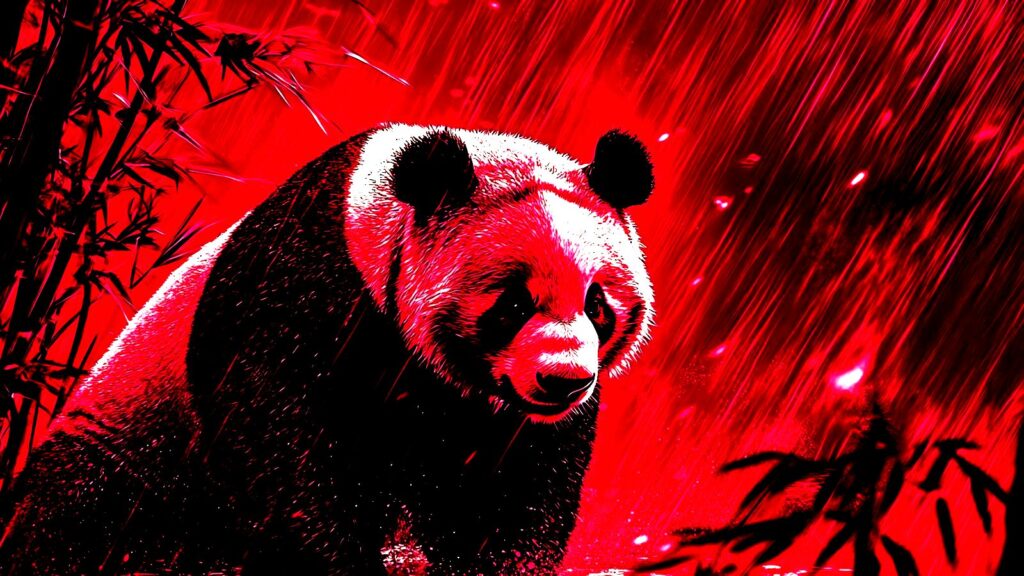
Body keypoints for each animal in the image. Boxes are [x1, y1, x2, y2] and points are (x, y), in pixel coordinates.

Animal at [0, 124, 655, 576]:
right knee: (83, 508)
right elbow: (285, 450)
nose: (563, 380)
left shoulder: (509, 416)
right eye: (513, 304)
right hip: (133, 441)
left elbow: (518, 492)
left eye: (597, 305)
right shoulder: (305, 291)